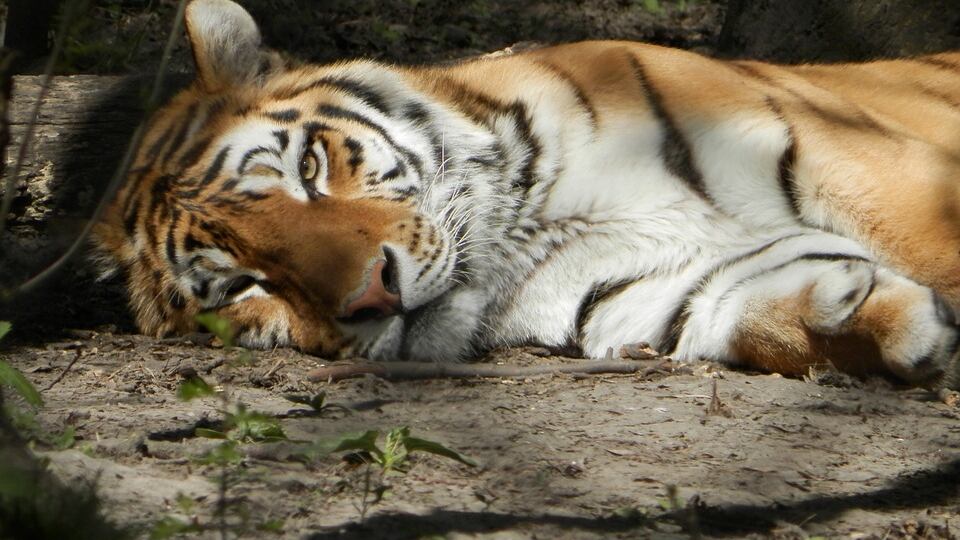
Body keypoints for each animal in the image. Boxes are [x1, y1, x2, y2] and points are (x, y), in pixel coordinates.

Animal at [92, 0, 960, 388]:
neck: (527, 224)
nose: (376, 296)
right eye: (247, 285)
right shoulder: (652, 288)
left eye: (308, 169)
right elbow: (753, 311)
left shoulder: (848, 155)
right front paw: (893, 324)